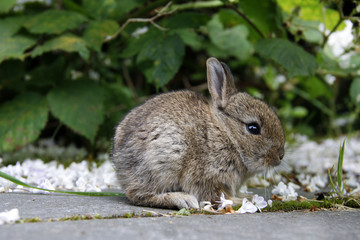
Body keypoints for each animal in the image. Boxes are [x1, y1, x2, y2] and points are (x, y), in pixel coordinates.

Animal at [111, 57, 286, 209]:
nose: (280, 155)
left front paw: (245, 197)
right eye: (253, 128)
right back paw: (183, 199)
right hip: (163, 158)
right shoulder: (208, 175)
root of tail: (119, 163)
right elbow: (215, 195)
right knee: (138, 194)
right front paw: (241, 200)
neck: (227, 133)